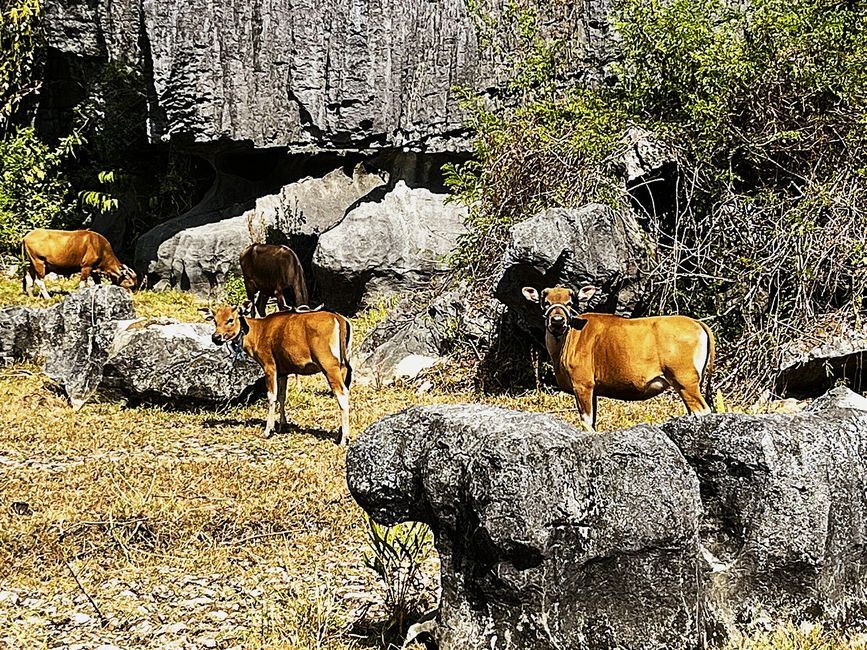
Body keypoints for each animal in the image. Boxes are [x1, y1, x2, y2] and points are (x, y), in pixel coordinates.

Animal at [208, 303, 353, 444]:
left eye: (230, 320)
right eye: (215, 321)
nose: (216, 337)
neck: (258, 331)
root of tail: (339, 319)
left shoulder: (269, 367)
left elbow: (272, 396)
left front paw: (268, 430)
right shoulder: (283, 372)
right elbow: (282, 396)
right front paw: (282, 424)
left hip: (329, 367)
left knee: (342, 394)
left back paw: (344, 439)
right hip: (342, 367)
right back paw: (340, 434)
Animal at [523, 285, 715, 430]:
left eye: (569, 303)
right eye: (546, 303)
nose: (557, 320)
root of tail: (697, 322)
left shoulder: (582, 385)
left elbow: (586, 423)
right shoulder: (593, 389)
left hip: (685, 381)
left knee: (702, 410)